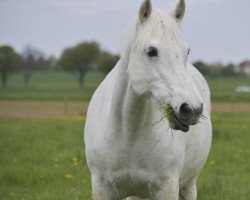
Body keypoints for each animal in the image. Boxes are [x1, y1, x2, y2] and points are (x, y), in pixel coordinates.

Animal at [85, 0, 212, 199]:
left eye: (187, 51)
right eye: (151, 51)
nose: (192, 109)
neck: (128, 134)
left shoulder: (166, 187)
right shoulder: (102, 187)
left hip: (189, 184)